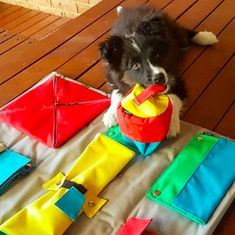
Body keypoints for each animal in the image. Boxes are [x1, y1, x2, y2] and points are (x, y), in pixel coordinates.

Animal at [99, 5, 218, 138]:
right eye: (134, 65)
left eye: (156, 54)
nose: (159, 77)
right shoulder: (113, 76)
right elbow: (117, 92)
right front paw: (111, 115)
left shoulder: (176, 78)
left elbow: (173, 99)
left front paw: (170, 124)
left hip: (174, 33)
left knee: (184, 33)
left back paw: (206, 37)